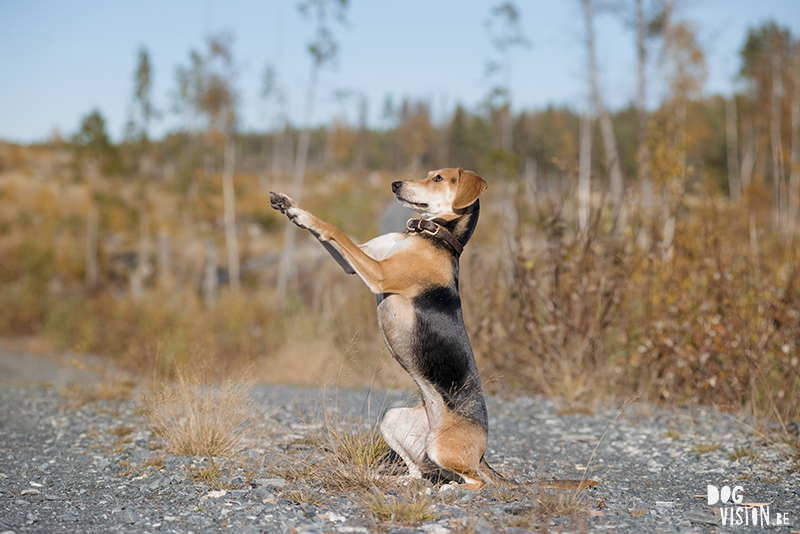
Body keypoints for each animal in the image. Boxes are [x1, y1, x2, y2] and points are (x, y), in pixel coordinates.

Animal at [270, 168, 512, 490]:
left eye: (438, 178)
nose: (395, 184)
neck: (433, 236)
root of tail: (482, 455)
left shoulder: (379, 273)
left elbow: (333, 229)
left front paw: (303, 216)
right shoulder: (358, 261)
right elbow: (331, 233)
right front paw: (290, 205)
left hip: (442, 447)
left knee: (475, 482)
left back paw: (450, 489)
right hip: (394, 421)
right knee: (418, 473)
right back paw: (388, 479)